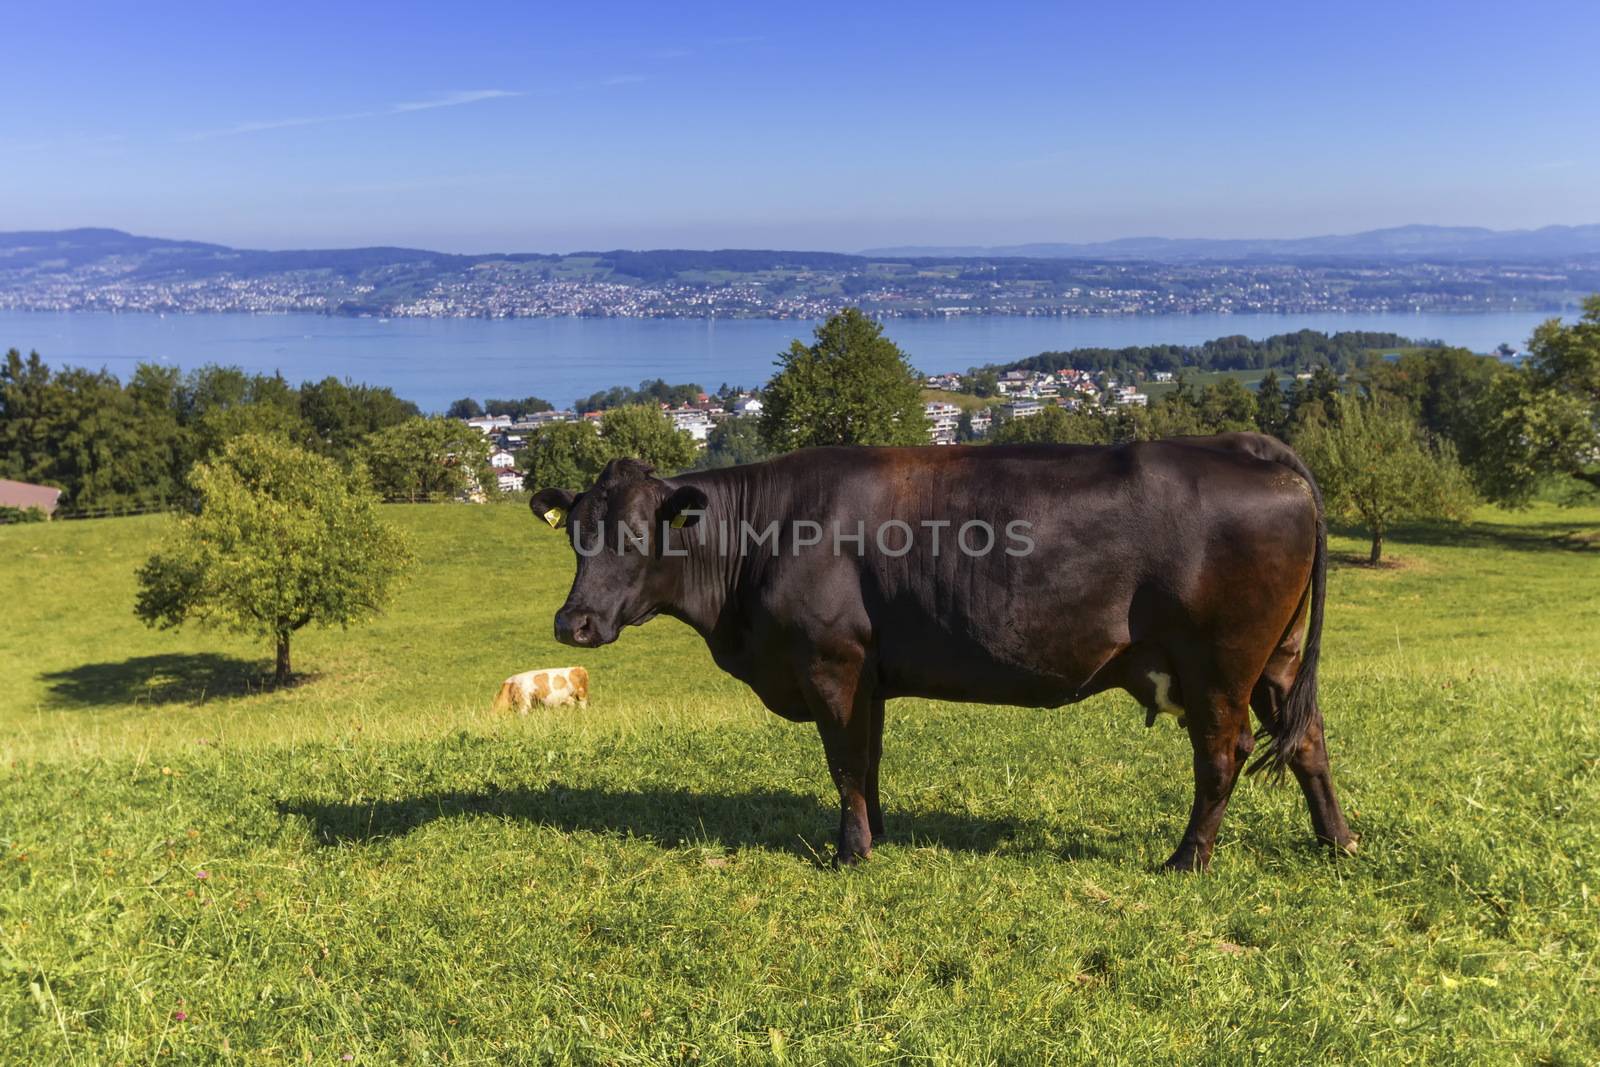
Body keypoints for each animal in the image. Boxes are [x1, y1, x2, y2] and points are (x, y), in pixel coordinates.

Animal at [531, 435, 1356, 870]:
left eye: (637, 533)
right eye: (577, 533)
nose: (573, 622)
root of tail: (1252, 447)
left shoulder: (830, 661)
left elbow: (843, 761)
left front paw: (851, 853)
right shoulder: (869, 673)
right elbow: (867, 759)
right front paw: (875, 834)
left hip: (1220, 661)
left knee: (1223, 753)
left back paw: (1186, 859)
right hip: (1276, 658)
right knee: (1308, 738)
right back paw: (1338, 840)